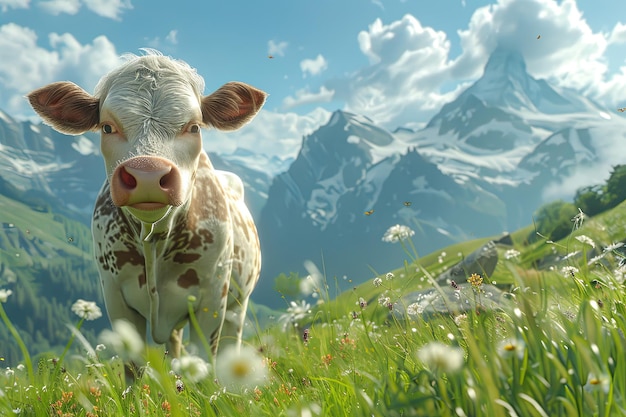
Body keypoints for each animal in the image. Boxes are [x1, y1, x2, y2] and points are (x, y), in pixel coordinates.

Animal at [26, 51, 264, 358]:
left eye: (194, 127)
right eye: (107, 127)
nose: (147, 174)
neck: (155, 243)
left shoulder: (213, 300)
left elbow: (204, 363)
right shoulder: (115, 297)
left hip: (237, 307)